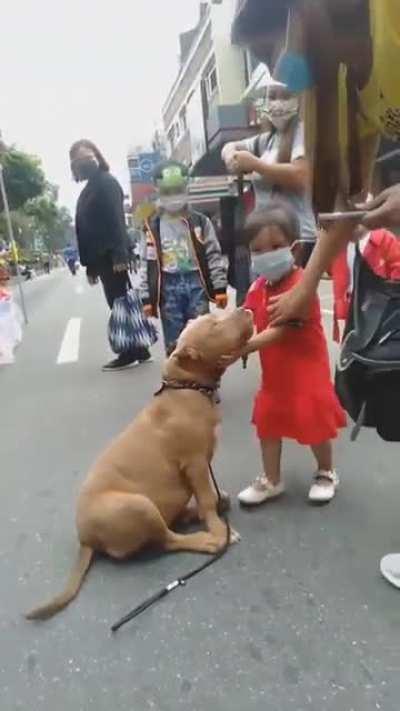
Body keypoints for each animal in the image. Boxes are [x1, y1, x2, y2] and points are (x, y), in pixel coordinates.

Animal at [26, 308, 253, 620]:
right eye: (215, 325)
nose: (245, 309)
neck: (187, 388)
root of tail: (86, 537)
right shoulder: (195, 463)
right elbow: (206, 497)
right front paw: (218, 528)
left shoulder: (203, 462)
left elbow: (209, 493)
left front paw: (215, 508)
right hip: (138, 506)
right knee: (167, 539)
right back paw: (209, 540)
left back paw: (195, 512)